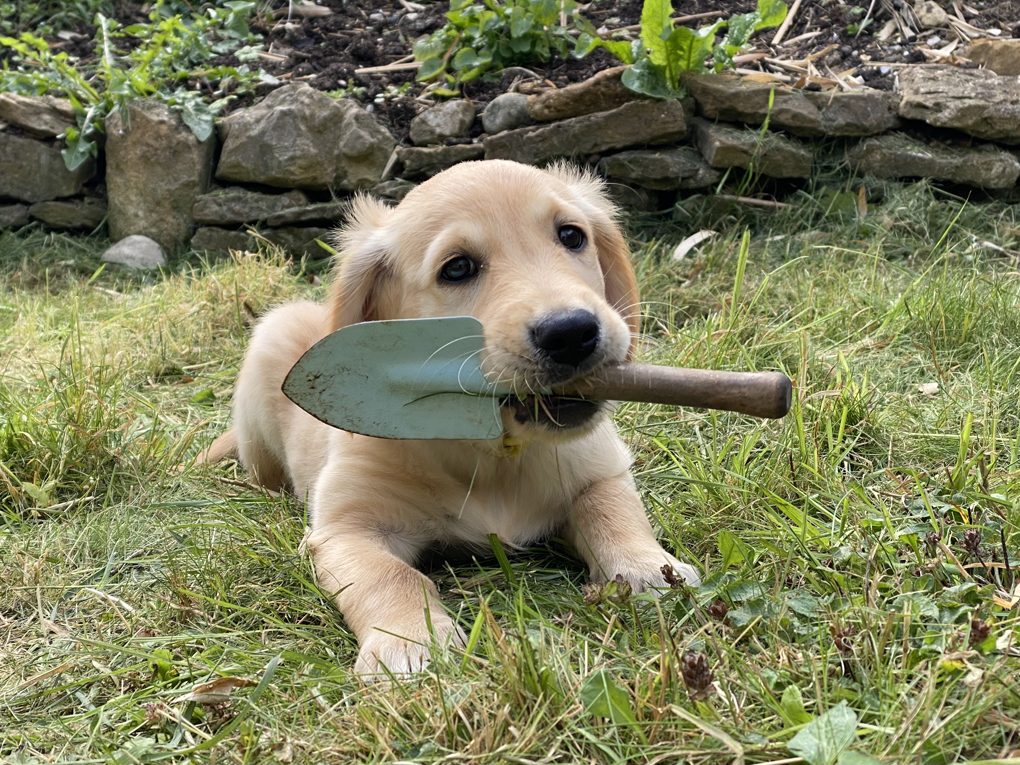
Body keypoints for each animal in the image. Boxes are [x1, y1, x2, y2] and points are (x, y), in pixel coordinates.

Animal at [205, 162, 701, 677]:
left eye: (571, 236)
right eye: (458, 268)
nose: (571, 333)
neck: (493, 451)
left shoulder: (601, 469)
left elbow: (612, 513)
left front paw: (649, 570)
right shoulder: (345, 529)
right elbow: (391, 574)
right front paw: (407, 644)